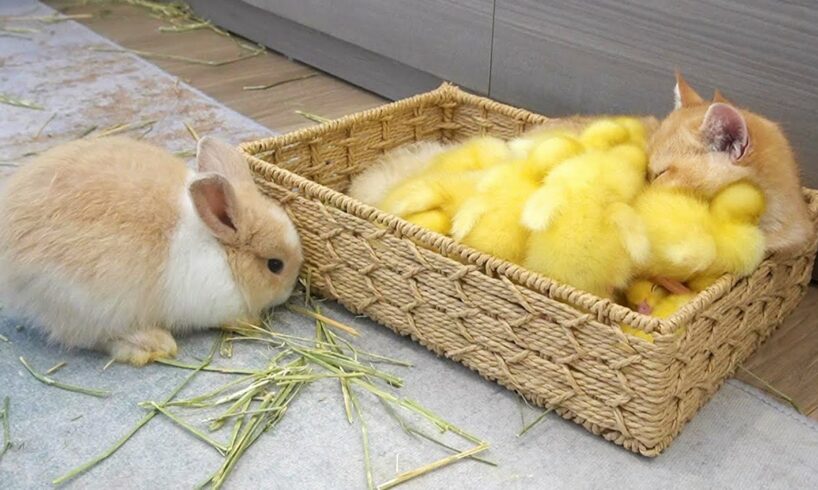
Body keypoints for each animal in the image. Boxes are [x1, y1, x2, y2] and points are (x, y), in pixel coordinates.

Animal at [0, 136, 302, 366]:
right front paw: (251, 322)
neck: (221, 252)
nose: (289, 292)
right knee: (93, 337)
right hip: (88, 304)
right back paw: (154, 345)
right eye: (275, 265)